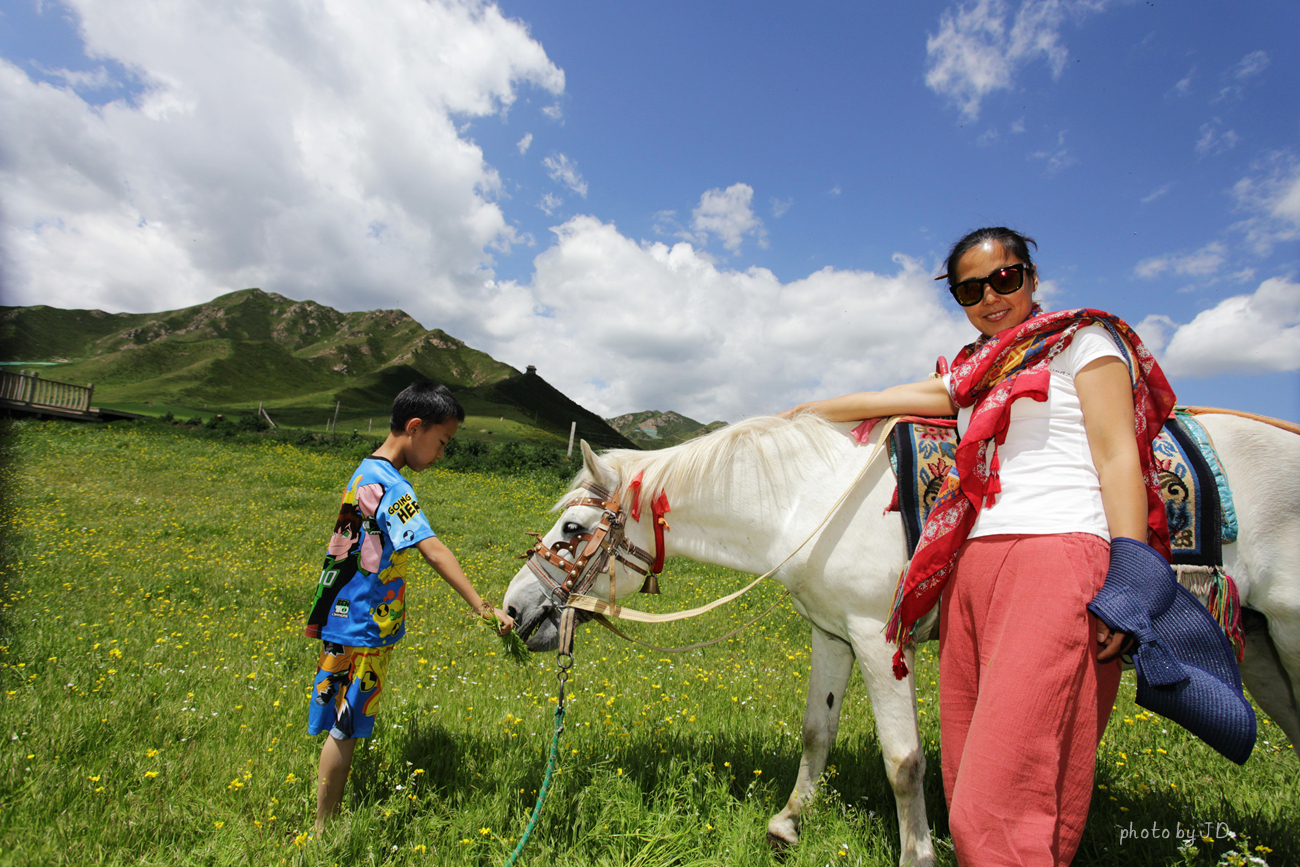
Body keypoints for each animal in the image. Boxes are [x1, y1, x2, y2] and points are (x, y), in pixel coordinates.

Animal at [499, 413, 1300, 867]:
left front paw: (917, 852)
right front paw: (787, 826)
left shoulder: (878, 638)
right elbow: (817, 732)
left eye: (572, 528)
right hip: (1263, 653)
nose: (513, 608)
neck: (813, 501)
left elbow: (905, 761)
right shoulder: (831, 632)